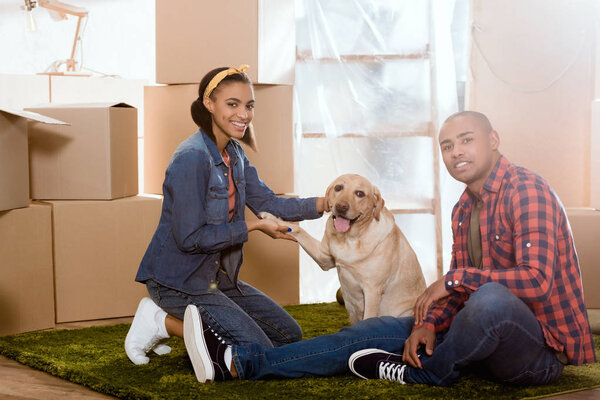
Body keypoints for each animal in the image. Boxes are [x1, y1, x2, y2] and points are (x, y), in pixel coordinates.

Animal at [262, 173, 426, 324]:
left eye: (359, 193)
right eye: (338, 187)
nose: (341, 206)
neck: (350, 239)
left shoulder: (372, 290)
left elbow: (368, 319)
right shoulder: (324, 258)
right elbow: (297, 229)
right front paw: (270, 217)